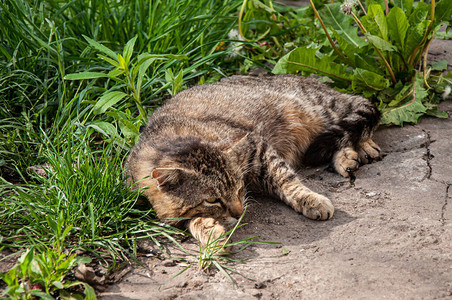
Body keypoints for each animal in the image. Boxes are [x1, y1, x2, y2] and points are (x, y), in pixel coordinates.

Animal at [126, 74, 382, 247]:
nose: (239, 213)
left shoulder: (259, 148)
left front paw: (310, 200)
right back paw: (348, 156)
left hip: (321, 109)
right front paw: (209, 232)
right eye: (212, 199)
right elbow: (190, 219)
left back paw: (361, 149)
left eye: (239, 187)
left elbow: (285, 179)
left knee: (359, 113)